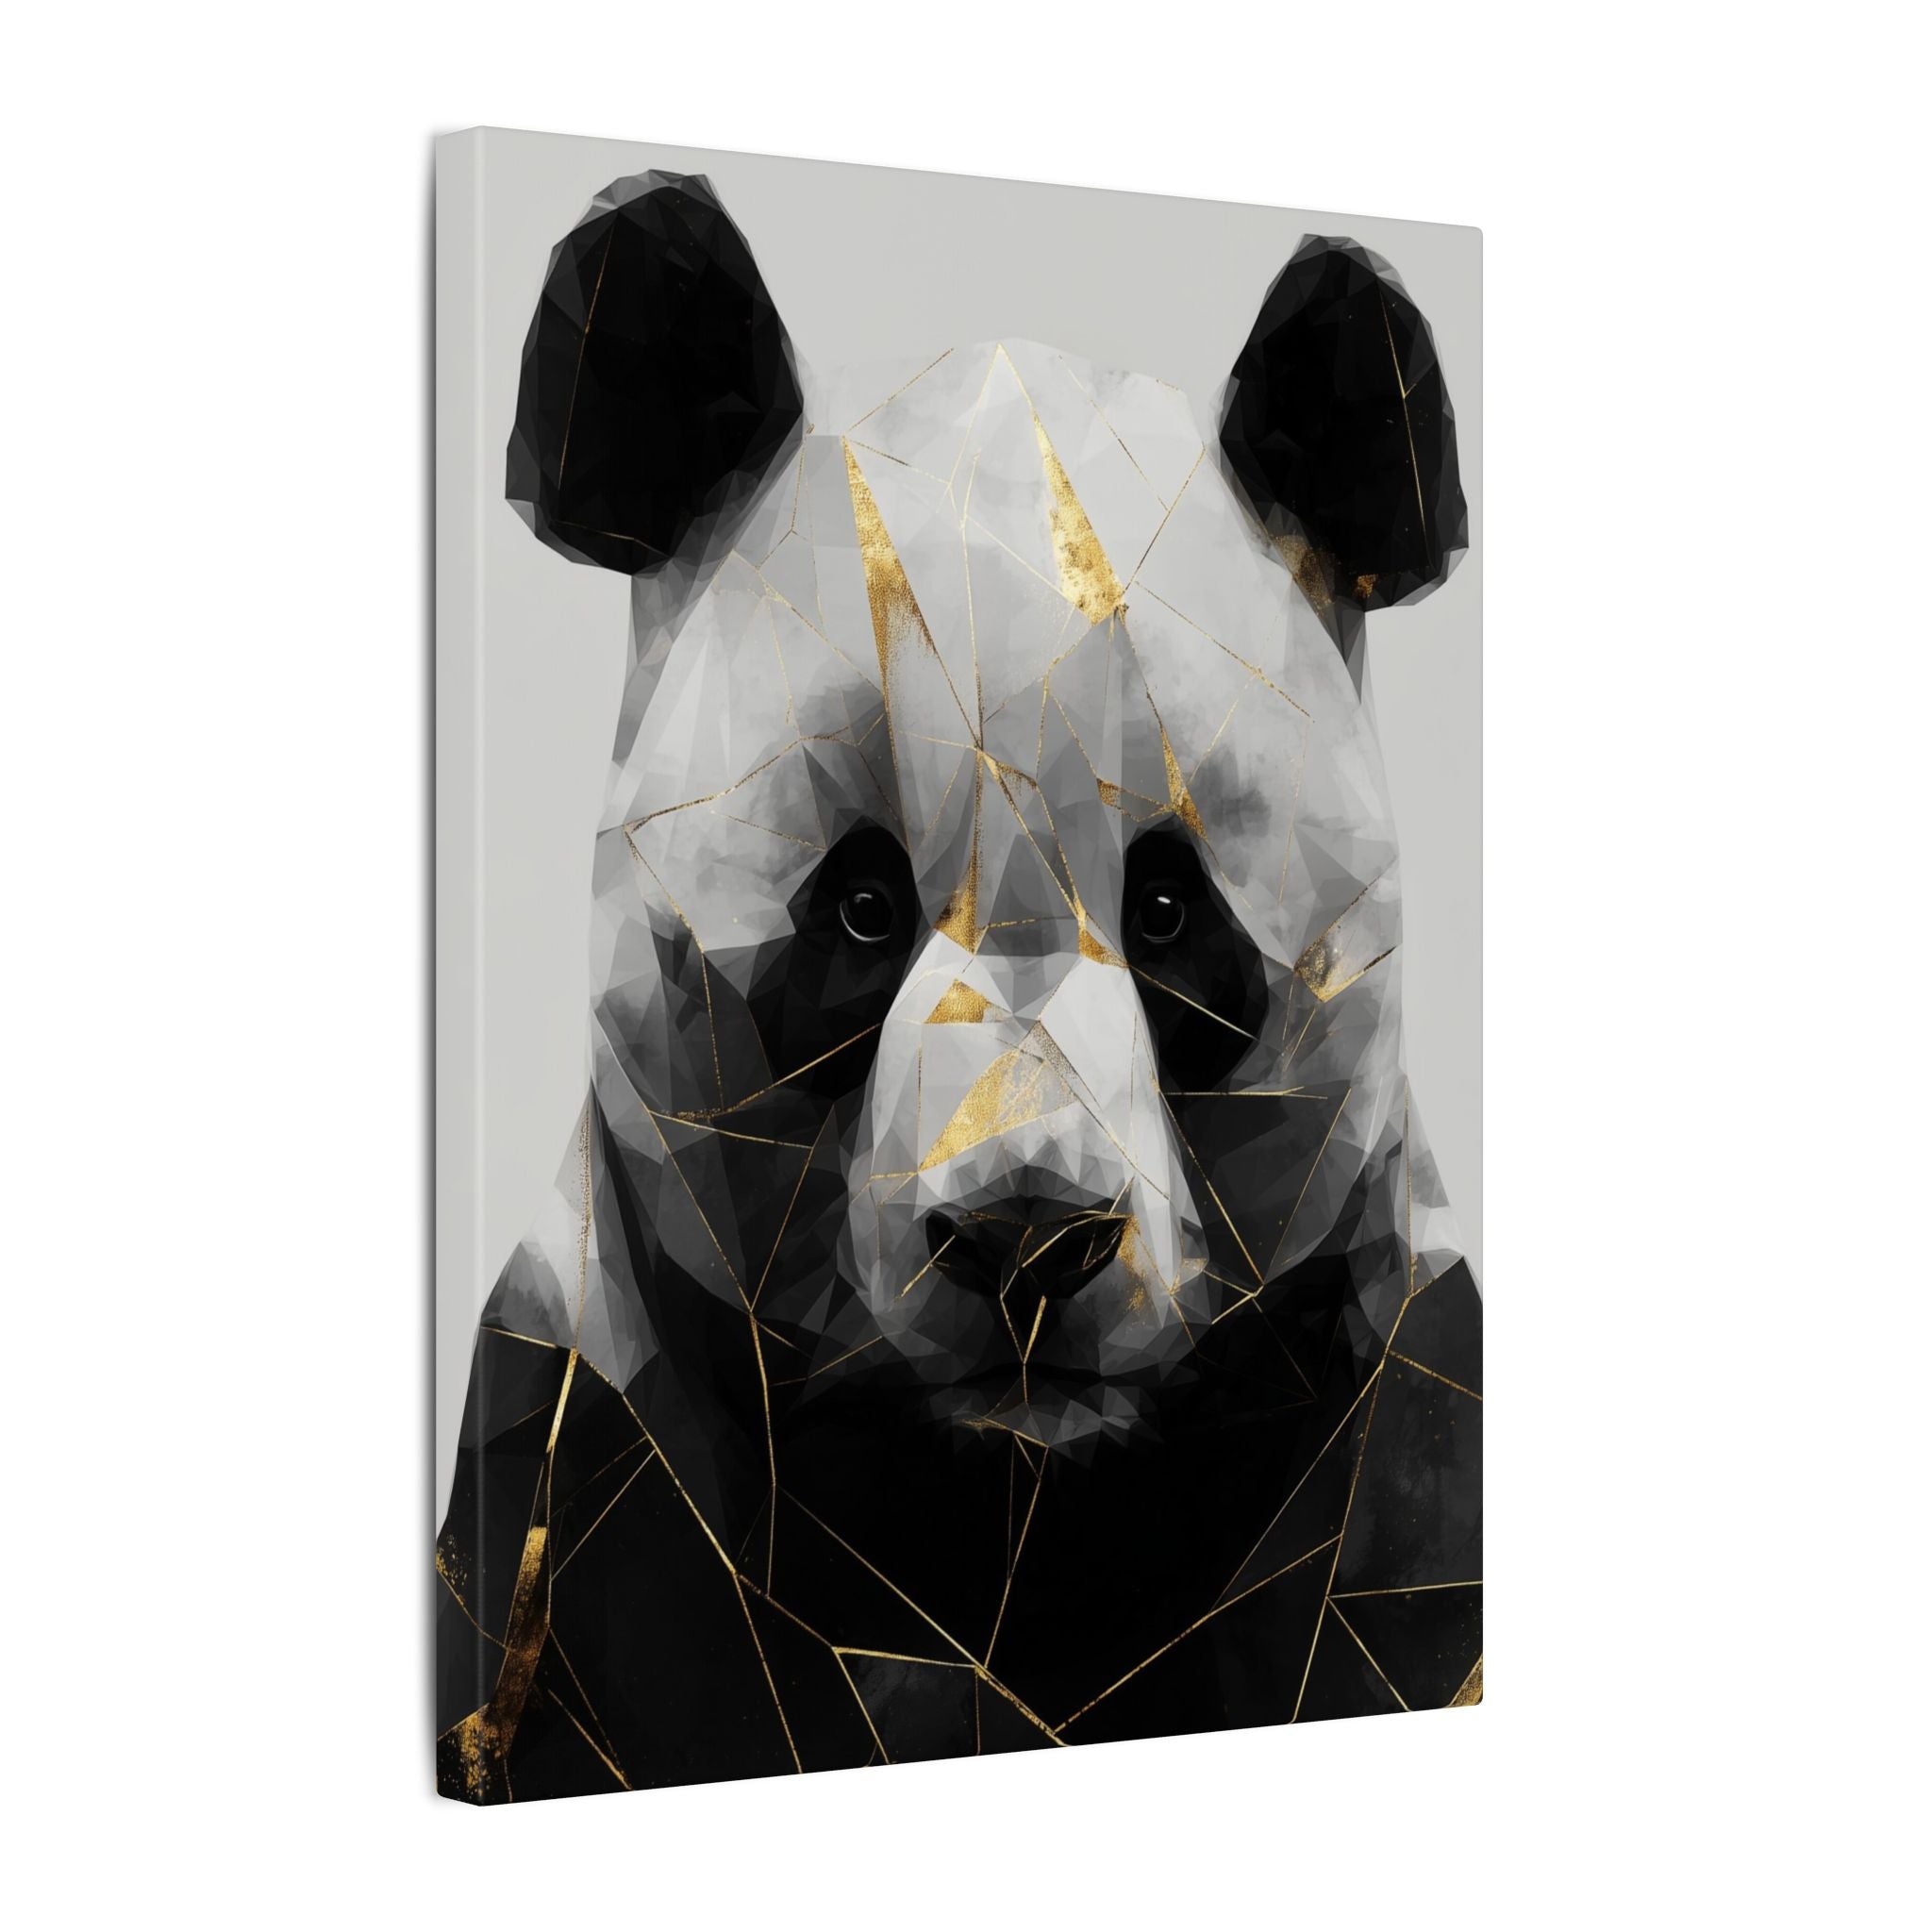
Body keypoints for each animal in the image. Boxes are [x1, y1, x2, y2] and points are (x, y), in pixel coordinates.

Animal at [437, 171, 1482, 1803]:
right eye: (860, 908)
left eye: (1171, 911)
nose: (1026, 1239)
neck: (1004, 1535)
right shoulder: (581, 1469)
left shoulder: (1399, 1445)